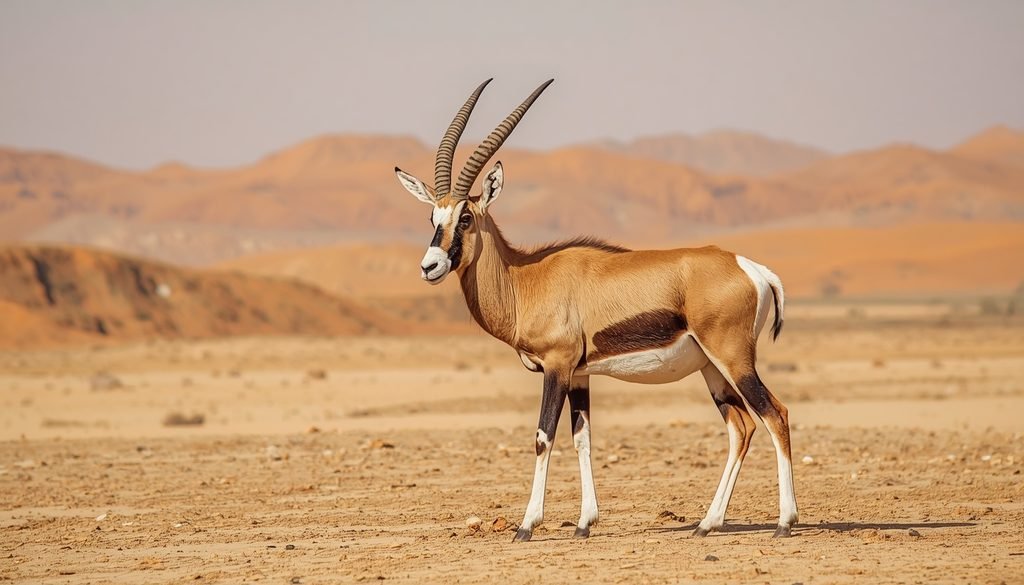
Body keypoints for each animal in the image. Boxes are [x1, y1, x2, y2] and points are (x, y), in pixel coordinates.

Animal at [394, 79, 798, 541]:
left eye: (465, 218)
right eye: (433, 217)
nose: (429, 266)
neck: (526, 279)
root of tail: (750, 268)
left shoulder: (557, 366)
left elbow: (543, 437)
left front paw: (527, 526)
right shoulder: (579, 375)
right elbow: (581, 438)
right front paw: (585, 523)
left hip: (734, 359)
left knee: (774, 414)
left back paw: (784, 523)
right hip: (711, 367)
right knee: (741, 426)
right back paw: (707, 523)